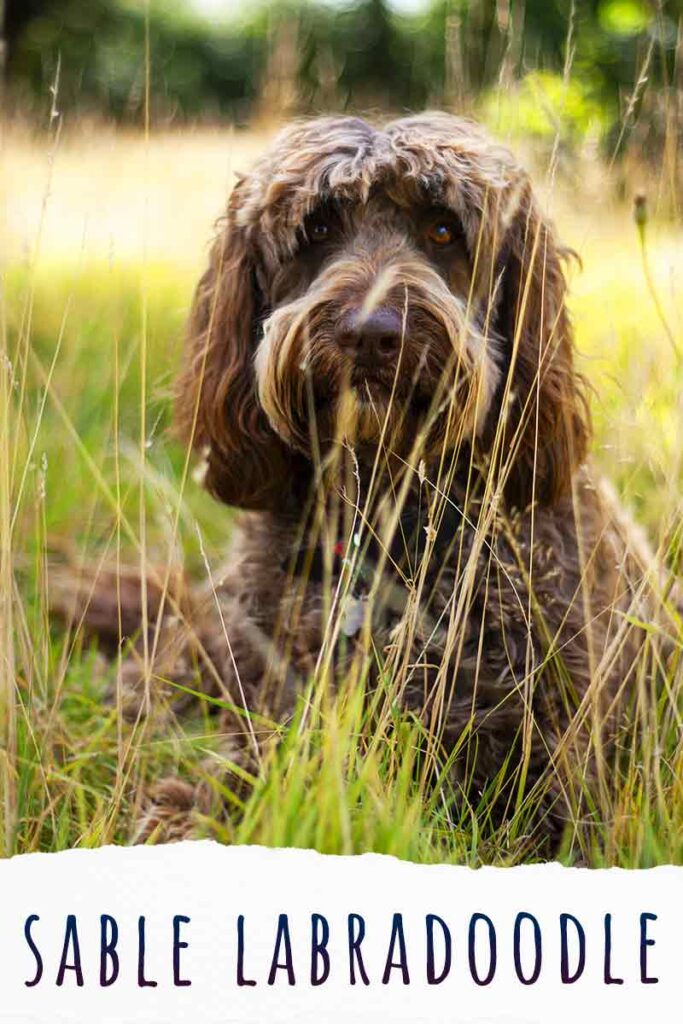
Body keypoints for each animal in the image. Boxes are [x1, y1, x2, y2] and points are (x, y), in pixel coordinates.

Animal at [69, 110, 679, 847]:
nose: (369, 333)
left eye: (443, 229)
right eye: (317, 229)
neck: (382, 517)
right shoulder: (273, 719)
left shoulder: (552, 774)